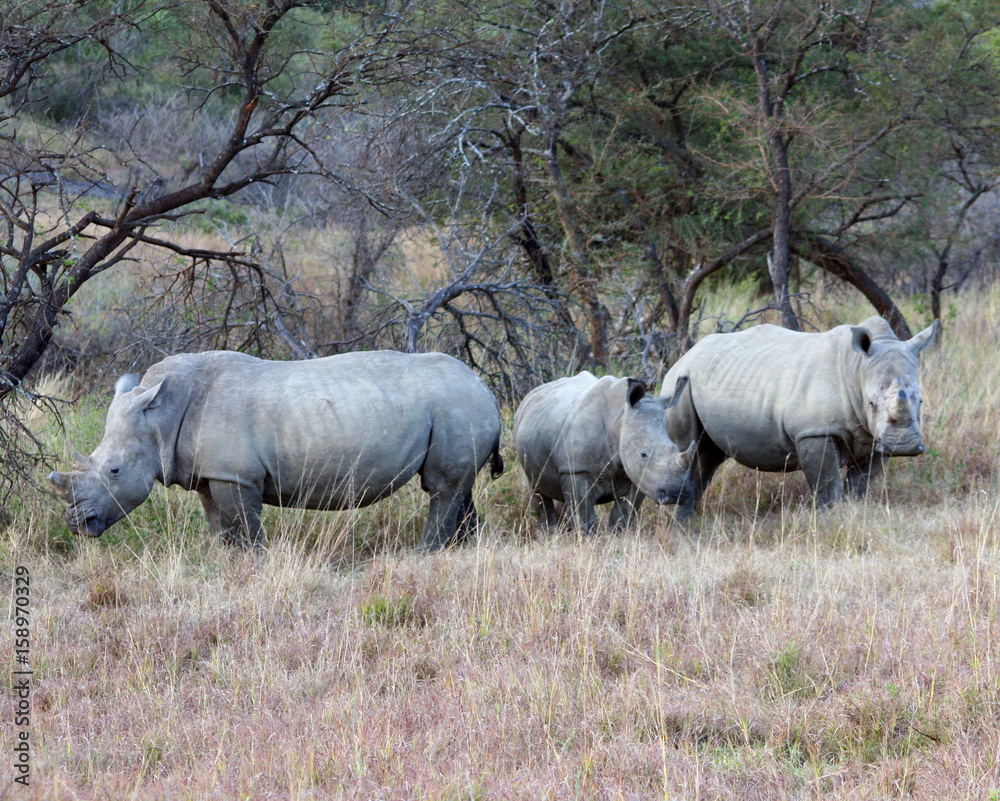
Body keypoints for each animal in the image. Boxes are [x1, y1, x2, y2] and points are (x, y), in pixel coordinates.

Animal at [48, 350, 503, 550]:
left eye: (114, 471)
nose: (76, 524)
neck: (161, 414)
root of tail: (486, 389)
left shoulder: (237, 475)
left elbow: (246, 523)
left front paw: (255, 560)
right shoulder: (210, 474)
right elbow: (218, 523)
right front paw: (224, 559)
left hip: (456, 405)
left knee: (442, 487)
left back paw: (426, 553)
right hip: (457, 409)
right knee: (458, 486)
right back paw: (465, 550)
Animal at [513, 372, 696, 533]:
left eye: (676, 448)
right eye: (643, 454)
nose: (677, 494)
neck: (620, 420)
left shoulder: (639, 476)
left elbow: (622, 517)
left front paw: (617, 538)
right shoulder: (577, 470)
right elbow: (585, 518)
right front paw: (587, 542)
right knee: (538, 492)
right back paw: (549, 535)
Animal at [659, 316, 938, 515]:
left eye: (920, 401)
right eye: (871, 403)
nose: (903, 445)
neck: (857, 369)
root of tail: (685, 354)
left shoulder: (874, 437)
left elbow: (861, 483)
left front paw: (853, 511)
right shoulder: (814, 431)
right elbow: (826, 484)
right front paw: (831, 519)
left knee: (708, 455)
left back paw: (690, 521)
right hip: (680, 381)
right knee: (687, 447)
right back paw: (684, 525)